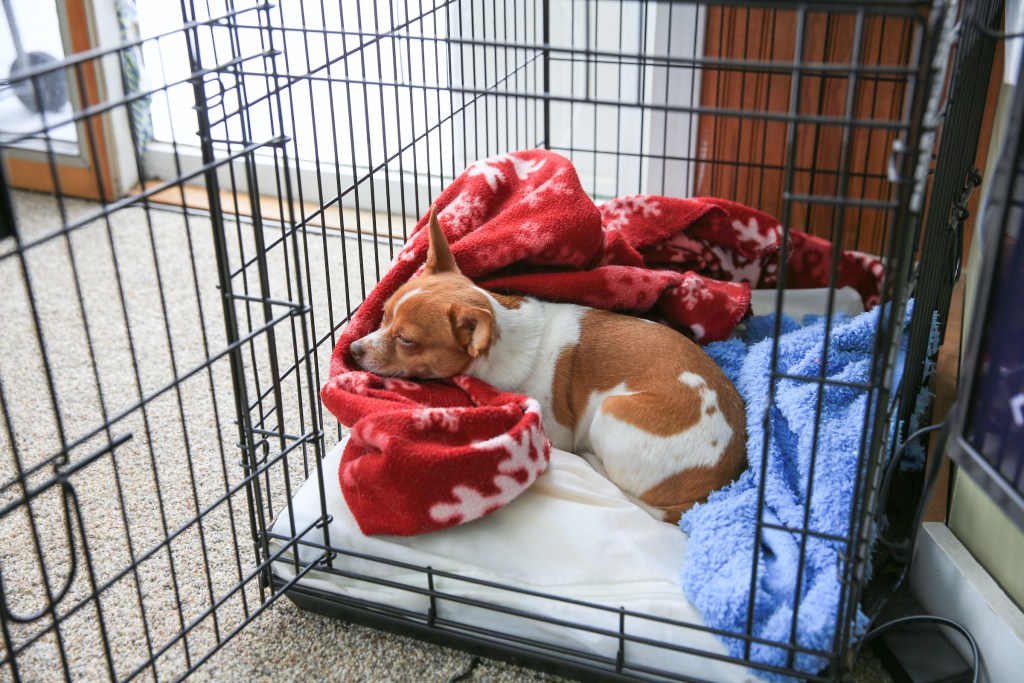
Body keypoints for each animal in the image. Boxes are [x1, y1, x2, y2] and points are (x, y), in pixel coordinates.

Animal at [350, 205, 745, 520]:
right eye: (383, 315)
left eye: (406, 341)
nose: (353, 349)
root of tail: (711, 488)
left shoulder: (557, 429)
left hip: (612, 412)